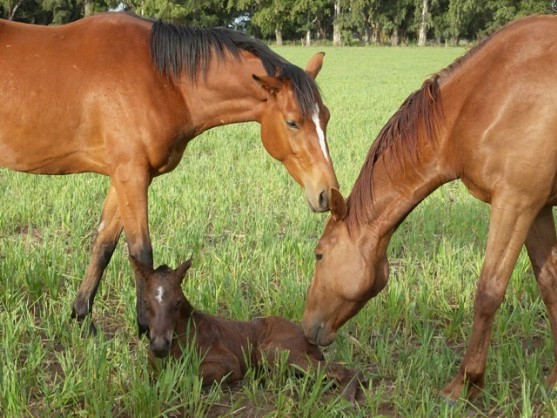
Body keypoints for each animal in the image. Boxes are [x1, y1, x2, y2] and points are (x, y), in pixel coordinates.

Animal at [0, 11, 338, 334]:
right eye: (292, 122)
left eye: (326, 117)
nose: (327, 193)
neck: (162, 79)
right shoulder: (131, 175)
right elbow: (141, 253)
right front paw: (146, 327)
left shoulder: (124, 177)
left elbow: (103, 245)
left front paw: (82, 316)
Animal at [130, 256, 360, 400]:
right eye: (145, 303)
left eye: (177, 303)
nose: (159, 346)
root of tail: (310, 340)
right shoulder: (151, 368)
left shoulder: (230, 364)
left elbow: (186, 375)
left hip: (272, 351)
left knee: (341, 370)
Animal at [302, 15, 556, 402]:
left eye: (319, 255)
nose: (305, 328)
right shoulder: (537, 208)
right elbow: (550, 283)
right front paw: (555, 379)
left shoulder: (516, 202)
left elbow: (488, 292)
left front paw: (464, 383)